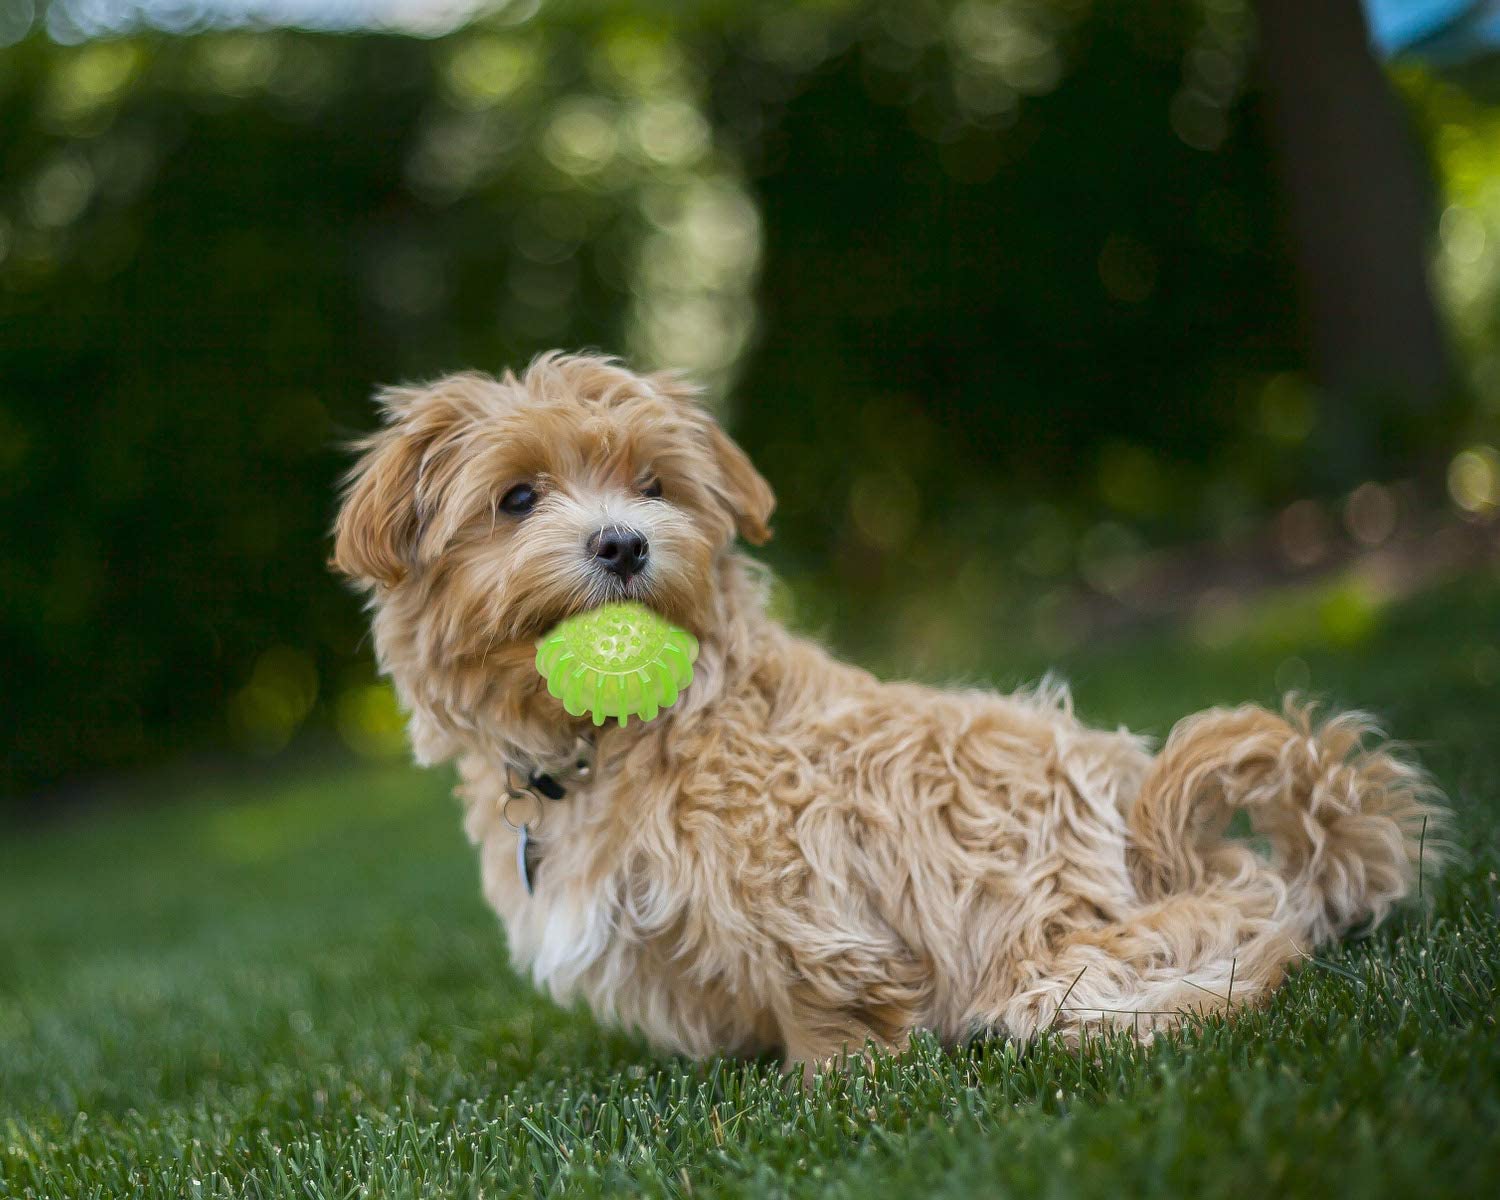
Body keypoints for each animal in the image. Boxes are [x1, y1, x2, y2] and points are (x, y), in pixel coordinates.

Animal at [334, 351, 1446, 1074]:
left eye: (653, 485)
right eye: (517, 498)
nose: (624, 542)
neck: (615, 743)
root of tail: (1157, 831)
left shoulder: (795, 890)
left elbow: (826, 993)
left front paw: (829, 1081)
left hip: (1064, 954)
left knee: (1247, 945)